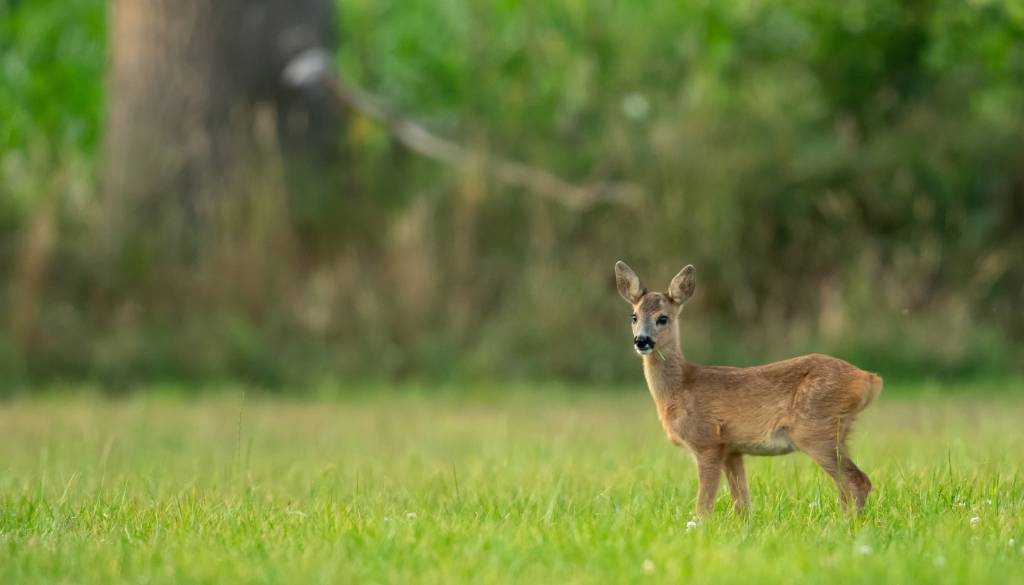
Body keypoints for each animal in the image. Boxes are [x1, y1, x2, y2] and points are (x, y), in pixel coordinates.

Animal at [614, 261, 882, 517]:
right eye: (634, 316)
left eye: (663, 318)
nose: (642, 341)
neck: (681, 387)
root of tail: (869, 379)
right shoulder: (732, 450)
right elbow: (742, 506)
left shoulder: (707, 441)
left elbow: (704, 507)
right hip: (838, 432)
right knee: (845, 488)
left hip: (816, 430)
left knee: (858, 481)